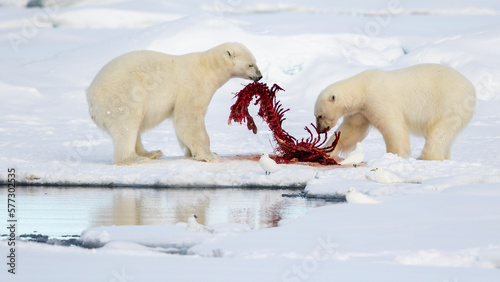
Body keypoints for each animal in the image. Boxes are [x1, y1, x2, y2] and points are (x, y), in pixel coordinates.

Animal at [87, 42, 264, 165]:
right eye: (250, 64)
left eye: (255, 61)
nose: (260, 76)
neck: (208, 67)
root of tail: (91, 97)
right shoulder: (193, 86)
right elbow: (188, 116)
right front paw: (210, 155)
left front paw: (192, 153)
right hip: (122, 94)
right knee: (126, 123)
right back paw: (134, 158)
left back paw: (151, 153)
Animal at [316, 64, 476, 161]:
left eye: (320, 115)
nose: (320, 130)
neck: (362, 88)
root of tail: (471, 89)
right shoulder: (361, 111)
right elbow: (351, 130)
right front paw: (327, 151)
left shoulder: (379, 99)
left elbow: (393, 127)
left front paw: (395, 155)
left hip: (449, 103)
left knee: (439, 132)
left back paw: (426, 157)